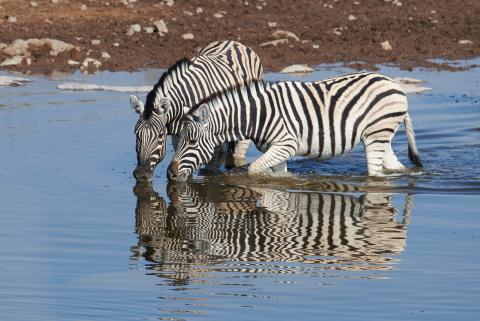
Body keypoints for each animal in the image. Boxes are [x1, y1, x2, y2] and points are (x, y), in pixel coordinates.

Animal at [128, 40, 262, 180]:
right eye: (136, 134)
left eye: (160, 135)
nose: (141, 174)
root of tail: (233, 42)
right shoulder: (179, 138)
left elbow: (209, 167)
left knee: (238, 153)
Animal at [167, 73, 422, 182]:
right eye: (176, 141)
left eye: (192, 142)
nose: (170, 174)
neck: (255, 116)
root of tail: (394, 84)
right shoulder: (278, 150)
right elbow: (278, 173)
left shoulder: (286, 144)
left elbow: (254, 169)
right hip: (380, 136)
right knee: (395, 167)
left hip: (377, 134)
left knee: (376, 174)